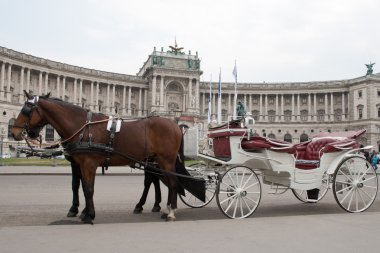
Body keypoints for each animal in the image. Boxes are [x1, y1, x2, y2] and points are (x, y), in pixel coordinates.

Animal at [11, 91, 205, 223]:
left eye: (26, 109)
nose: (14, 133)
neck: (83, 127)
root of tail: (175, 124)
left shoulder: (88, 163)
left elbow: (88, 188)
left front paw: (88, 215)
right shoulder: (79, 163)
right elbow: (79, 186)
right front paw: (81, 211)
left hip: (166, 160)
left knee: (172, 183)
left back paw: (170, 212)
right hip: (156, 161)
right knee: (158, 181)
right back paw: (162, 208)